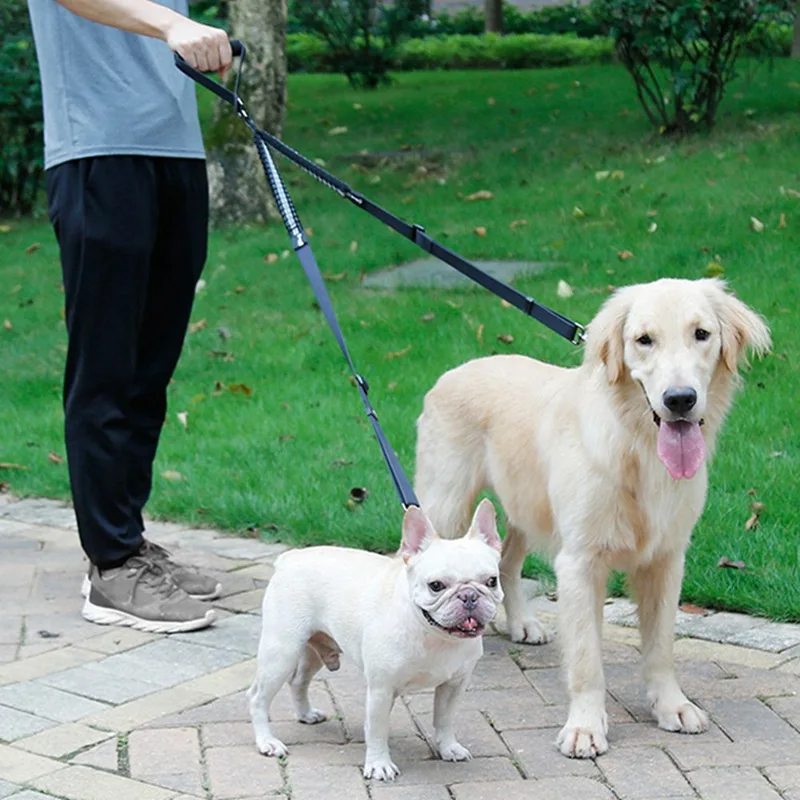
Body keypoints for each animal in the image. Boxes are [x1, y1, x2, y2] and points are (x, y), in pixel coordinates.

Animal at [247, 500, 504, 780]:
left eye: (492, 581)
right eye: (436, 585)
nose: (469, 596)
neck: (434, 636)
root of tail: (289, 558)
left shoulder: (454, 685)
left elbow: (444, 719)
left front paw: (449, 748)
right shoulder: (381, 689)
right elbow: (377, 730)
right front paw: (380, 764)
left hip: (313, 649)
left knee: (298, 681)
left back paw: (306, 714)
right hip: (282, 652)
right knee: (258, 697)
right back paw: (267, 742)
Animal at [412, 280, 768, 756]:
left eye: (702, 334)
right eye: (644, 339)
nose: (680, 400)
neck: (638, 448)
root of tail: (453, 372)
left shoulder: (666, 559)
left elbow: (661, 646)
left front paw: (671, 706)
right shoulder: (580, 562)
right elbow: (585, 659)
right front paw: (584, 726)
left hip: (527, 508)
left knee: (505, 563)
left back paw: (522, 623)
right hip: (446, 505)